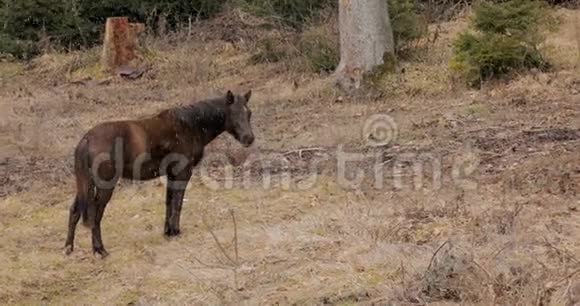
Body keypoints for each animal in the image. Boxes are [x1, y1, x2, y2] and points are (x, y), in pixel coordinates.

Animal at [64, 89, 254, 256]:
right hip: (104, 186)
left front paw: (168, 232)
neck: (191, 125)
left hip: (85, 185)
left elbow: (169, 202)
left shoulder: (171, 175)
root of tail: (86, 140)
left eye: (249, 113)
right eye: (233, 113)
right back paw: (100, 250)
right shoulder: (183, 174)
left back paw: (68, 248)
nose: (249, 138)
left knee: (75, 211)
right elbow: (178, 203)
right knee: (95, 213)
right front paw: (176, 231)